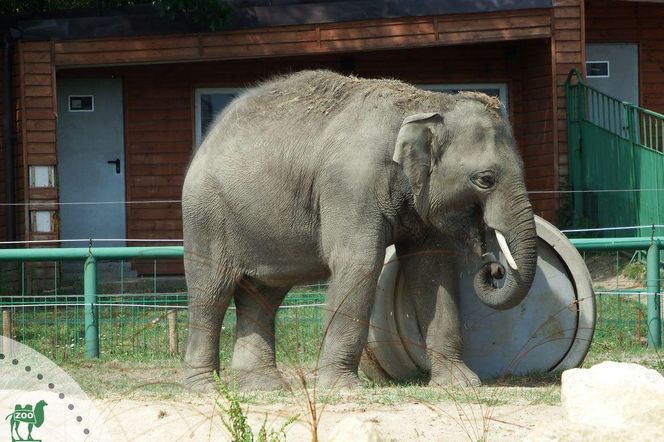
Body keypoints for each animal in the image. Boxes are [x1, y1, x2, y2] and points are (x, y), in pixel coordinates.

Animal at [182, 69, 540, 390]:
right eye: (485, 179)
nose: (494, 268)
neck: (425, 103)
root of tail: (208, 139)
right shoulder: (350, 185)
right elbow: (359, 262)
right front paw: (342, 388)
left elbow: (433, 269)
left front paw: (461, 383)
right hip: (206, 215)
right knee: (212, 292)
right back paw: (205, 388)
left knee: (263, 294)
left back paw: (265, 387)